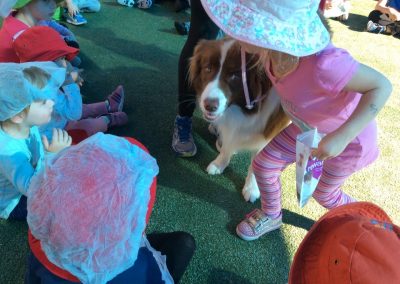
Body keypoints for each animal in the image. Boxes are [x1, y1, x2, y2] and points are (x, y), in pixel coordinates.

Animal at [189, 38, 290, 203]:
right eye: (208, 68)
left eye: (235, 75)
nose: (209, 106)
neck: (243, 111)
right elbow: (227, 145)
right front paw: (219, 164)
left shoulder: (268, 134)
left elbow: (257, 163)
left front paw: (252, 188)